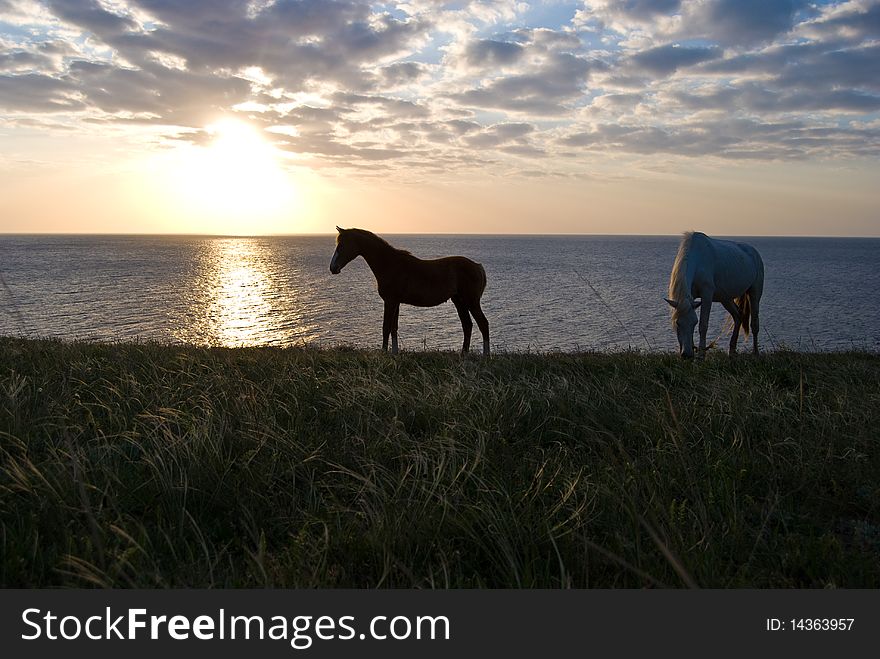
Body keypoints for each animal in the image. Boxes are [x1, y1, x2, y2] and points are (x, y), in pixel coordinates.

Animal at [330, 229, 492, 358]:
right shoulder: (395, 302)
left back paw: (486, 356)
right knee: (467, 325)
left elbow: (386, 327)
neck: (390, 264)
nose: (333, 268)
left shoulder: (390, 301)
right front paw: (394, 353)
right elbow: (393, 328)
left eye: (342, 245)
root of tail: (478, 266)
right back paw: (464, 354)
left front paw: (384, 353)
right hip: (459, 301)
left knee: (483, 324)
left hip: (471, 301)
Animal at [668, 232, 764, 360]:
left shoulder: (707, 295)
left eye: (694, 323)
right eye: (678, 323)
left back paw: (755, 353)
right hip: (726, 298)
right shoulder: (691, 298)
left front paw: (701, 356)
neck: (698, 260)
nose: (687, 354)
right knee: (738, 316)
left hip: (755, 293)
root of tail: (754, 252)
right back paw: (732, 351)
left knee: (754, 323)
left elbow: (703, 325)